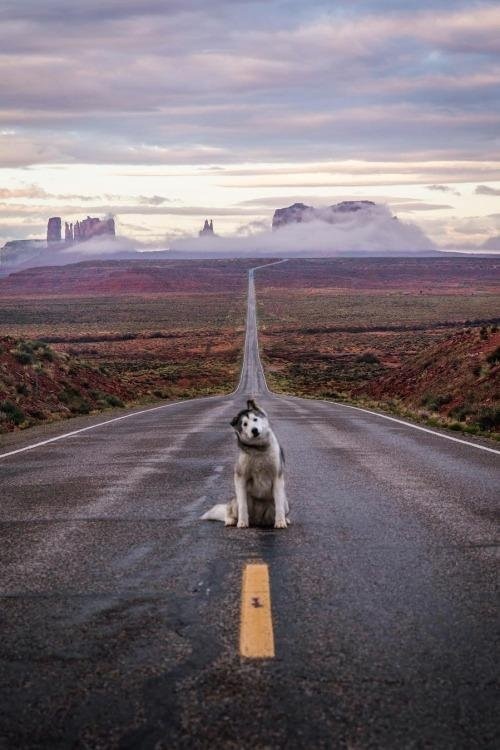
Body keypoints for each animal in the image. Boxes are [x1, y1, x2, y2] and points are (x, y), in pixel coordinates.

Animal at [201, 400, 290, 528]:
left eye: (255, 419)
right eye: (245, 424)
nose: (254, 430)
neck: (259, 449)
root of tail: (258, 520)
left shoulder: (277, 477)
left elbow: (279, 505)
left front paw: (280, 522)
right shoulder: (240, 477)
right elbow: (243, 505)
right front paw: (242, 522)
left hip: (285, 502)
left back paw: (285, 519)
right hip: (237, 501)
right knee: (229, 510)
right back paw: (231, 520)